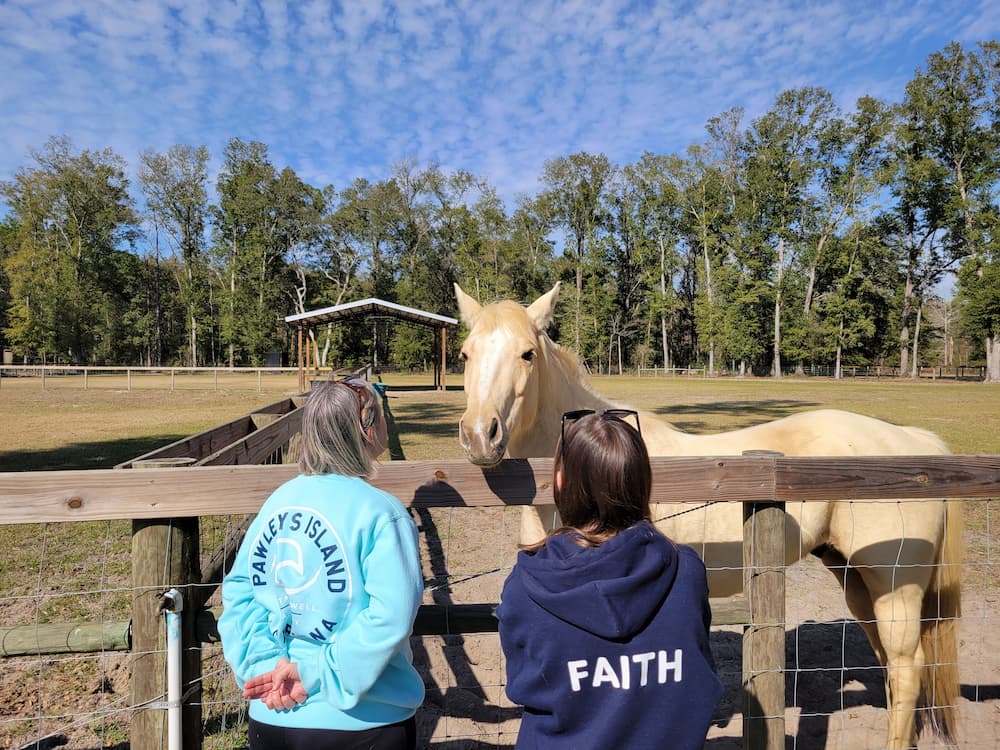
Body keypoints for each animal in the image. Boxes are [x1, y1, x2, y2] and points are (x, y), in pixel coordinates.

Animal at [456, 284, 960, 750]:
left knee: (907, 667)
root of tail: (914, 443)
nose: (480, 435)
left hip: (896, 587)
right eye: (465, 353)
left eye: (527, 353)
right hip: (855, 580)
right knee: (893, 667)